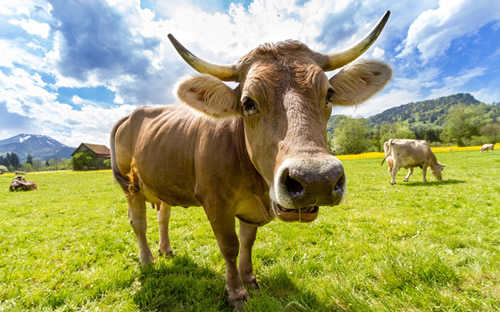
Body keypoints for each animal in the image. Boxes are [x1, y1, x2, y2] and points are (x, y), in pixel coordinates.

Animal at [111, 11, 392, 308]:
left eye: (329, 94)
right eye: (248, 102)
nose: (316, 180)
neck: (255, 183)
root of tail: (133, 113)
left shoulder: (250, 210)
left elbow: (247, 242)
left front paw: (250, 279)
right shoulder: (215, 202)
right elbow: (230, 246)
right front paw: (236, 292)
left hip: (161, 181)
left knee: (163, 216)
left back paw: (166, 250)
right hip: (131, 186)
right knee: (138, 223)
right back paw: (147, 260)